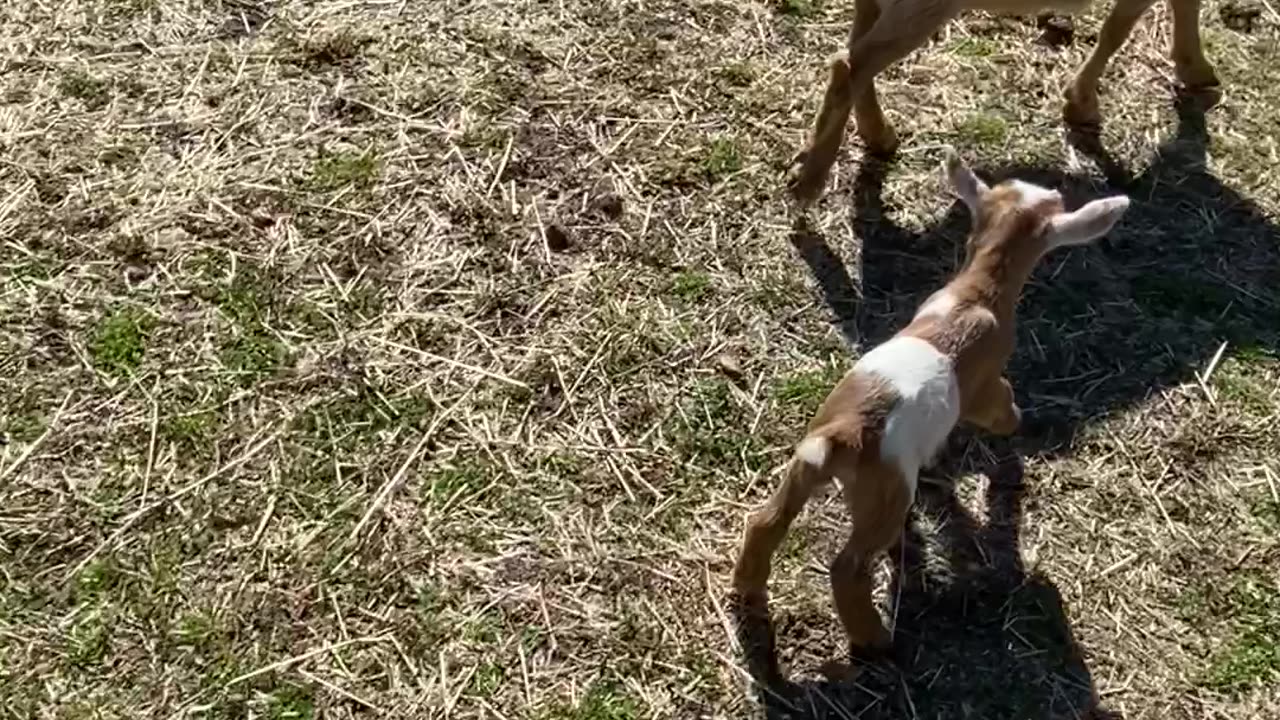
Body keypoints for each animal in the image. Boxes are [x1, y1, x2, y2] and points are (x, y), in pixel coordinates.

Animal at [732, 149, 1131, 650]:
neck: (976, 292)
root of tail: (846, 435)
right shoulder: (984, 389)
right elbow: (1002, 406)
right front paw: (1016, 425)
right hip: (888, 497)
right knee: (847, 567)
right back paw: (876, 642)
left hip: (804, 466)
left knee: (765, 522)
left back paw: (746, 588)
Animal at [788, 0, 1218, 206]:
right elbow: (1119, 28)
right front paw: (1081, 102)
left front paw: (1196, 72)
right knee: (850, 65)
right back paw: (810, 181)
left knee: (854, 54)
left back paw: (878, 137)